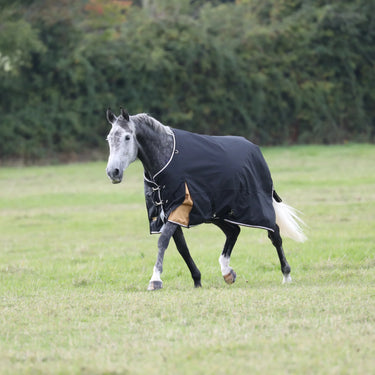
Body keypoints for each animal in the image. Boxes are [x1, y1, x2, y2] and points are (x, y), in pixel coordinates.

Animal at [105, 108, 306, 290]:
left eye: (127, 137)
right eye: (109, 139)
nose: (113, 172)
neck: (166, 157)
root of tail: (255, 149)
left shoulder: (178, 208)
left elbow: (163, 241)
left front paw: (155, 280)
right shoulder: (168, 214)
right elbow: (182, 248)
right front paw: (197, 280)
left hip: (254, 207)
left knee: (274, 233)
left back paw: (286, 275)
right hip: (218, 213)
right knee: (234, 231)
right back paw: (227, 272)